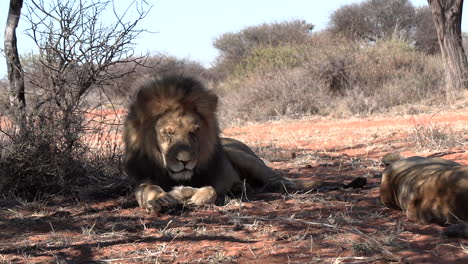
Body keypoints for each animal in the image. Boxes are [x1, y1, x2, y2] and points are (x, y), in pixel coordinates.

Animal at [123, 75, 366, 213]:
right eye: (168, 134)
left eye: (194, 132)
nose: (184, 161)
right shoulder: (142, 181)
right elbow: (150, 191)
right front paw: (163, 199)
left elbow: (211, 190)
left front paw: (191, 195)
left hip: (246, 159)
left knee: (282, 182)